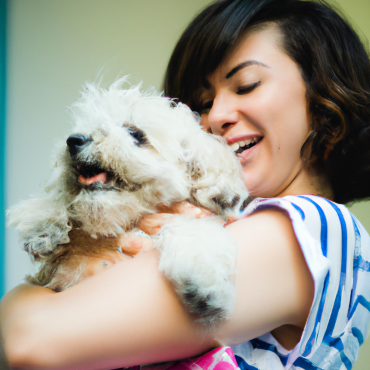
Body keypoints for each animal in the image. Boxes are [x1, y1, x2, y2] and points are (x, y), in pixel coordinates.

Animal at [7, 79, 249, 324]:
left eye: (135, 133)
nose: (74, 141)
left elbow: (193, 229)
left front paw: (205, 280)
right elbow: (60, 200)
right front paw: (46, 226)